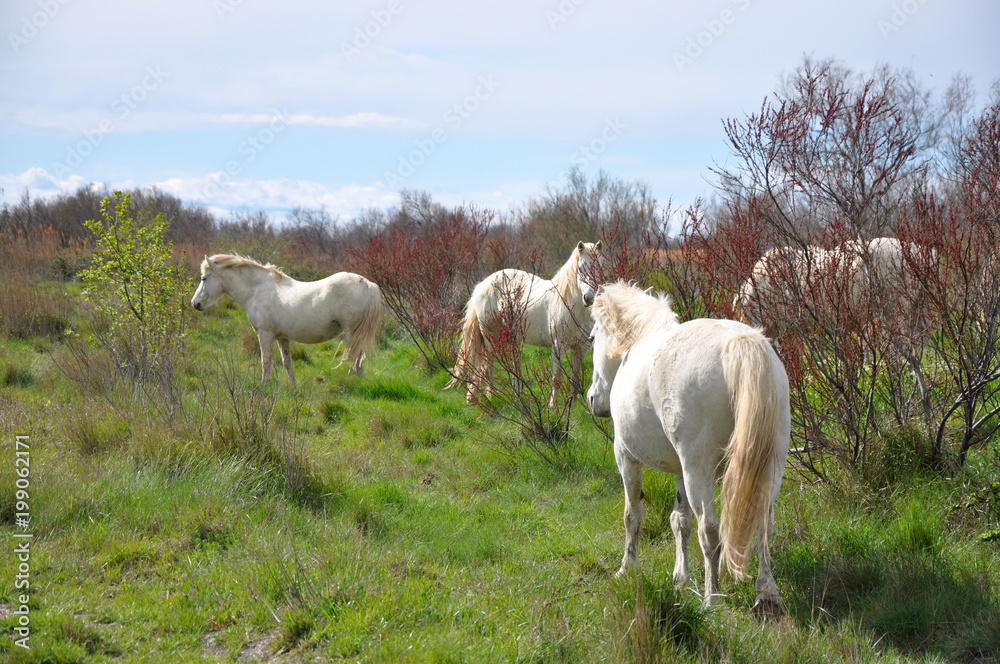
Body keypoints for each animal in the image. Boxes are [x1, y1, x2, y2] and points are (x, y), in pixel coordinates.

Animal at [190, 254, 383, 382]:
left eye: (204, 278)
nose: (195, 303)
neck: (257, 290)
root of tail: (366, 283)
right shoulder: (282, 338)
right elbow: (287, 362)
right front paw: (293, 387)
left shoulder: (265, 334)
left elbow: (266, 361)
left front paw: (263, 385)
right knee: (358, 358)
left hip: (352, 333)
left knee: (356, 357)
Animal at [450, 241, 603, 406]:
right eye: (580, 268)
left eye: (600, 266)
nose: (590, 298)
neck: (569, 303)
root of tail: (482, 285)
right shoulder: (558, 345)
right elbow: (557, 378)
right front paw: (553, 406)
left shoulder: (580, 347)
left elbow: (575, 378)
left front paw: (571, 405)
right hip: (492, 337)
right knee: (489, 366)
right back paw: (492, 397)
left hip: (512, 338)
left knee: (512, 368)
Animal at [587, 281, 790, 614]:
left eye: (592, 338)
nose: (593, 399)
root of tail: (739, 342)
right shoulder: (680, 470)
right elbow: (679, 520)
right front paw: (681, 577)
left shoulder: (626, 457)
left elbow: (633, 515)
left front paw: (627, 569)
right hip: (769, 464)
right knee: (764, 524)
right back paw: (767, 594)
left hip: (698, 468)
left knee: (709, 530)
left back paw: (712, 599)